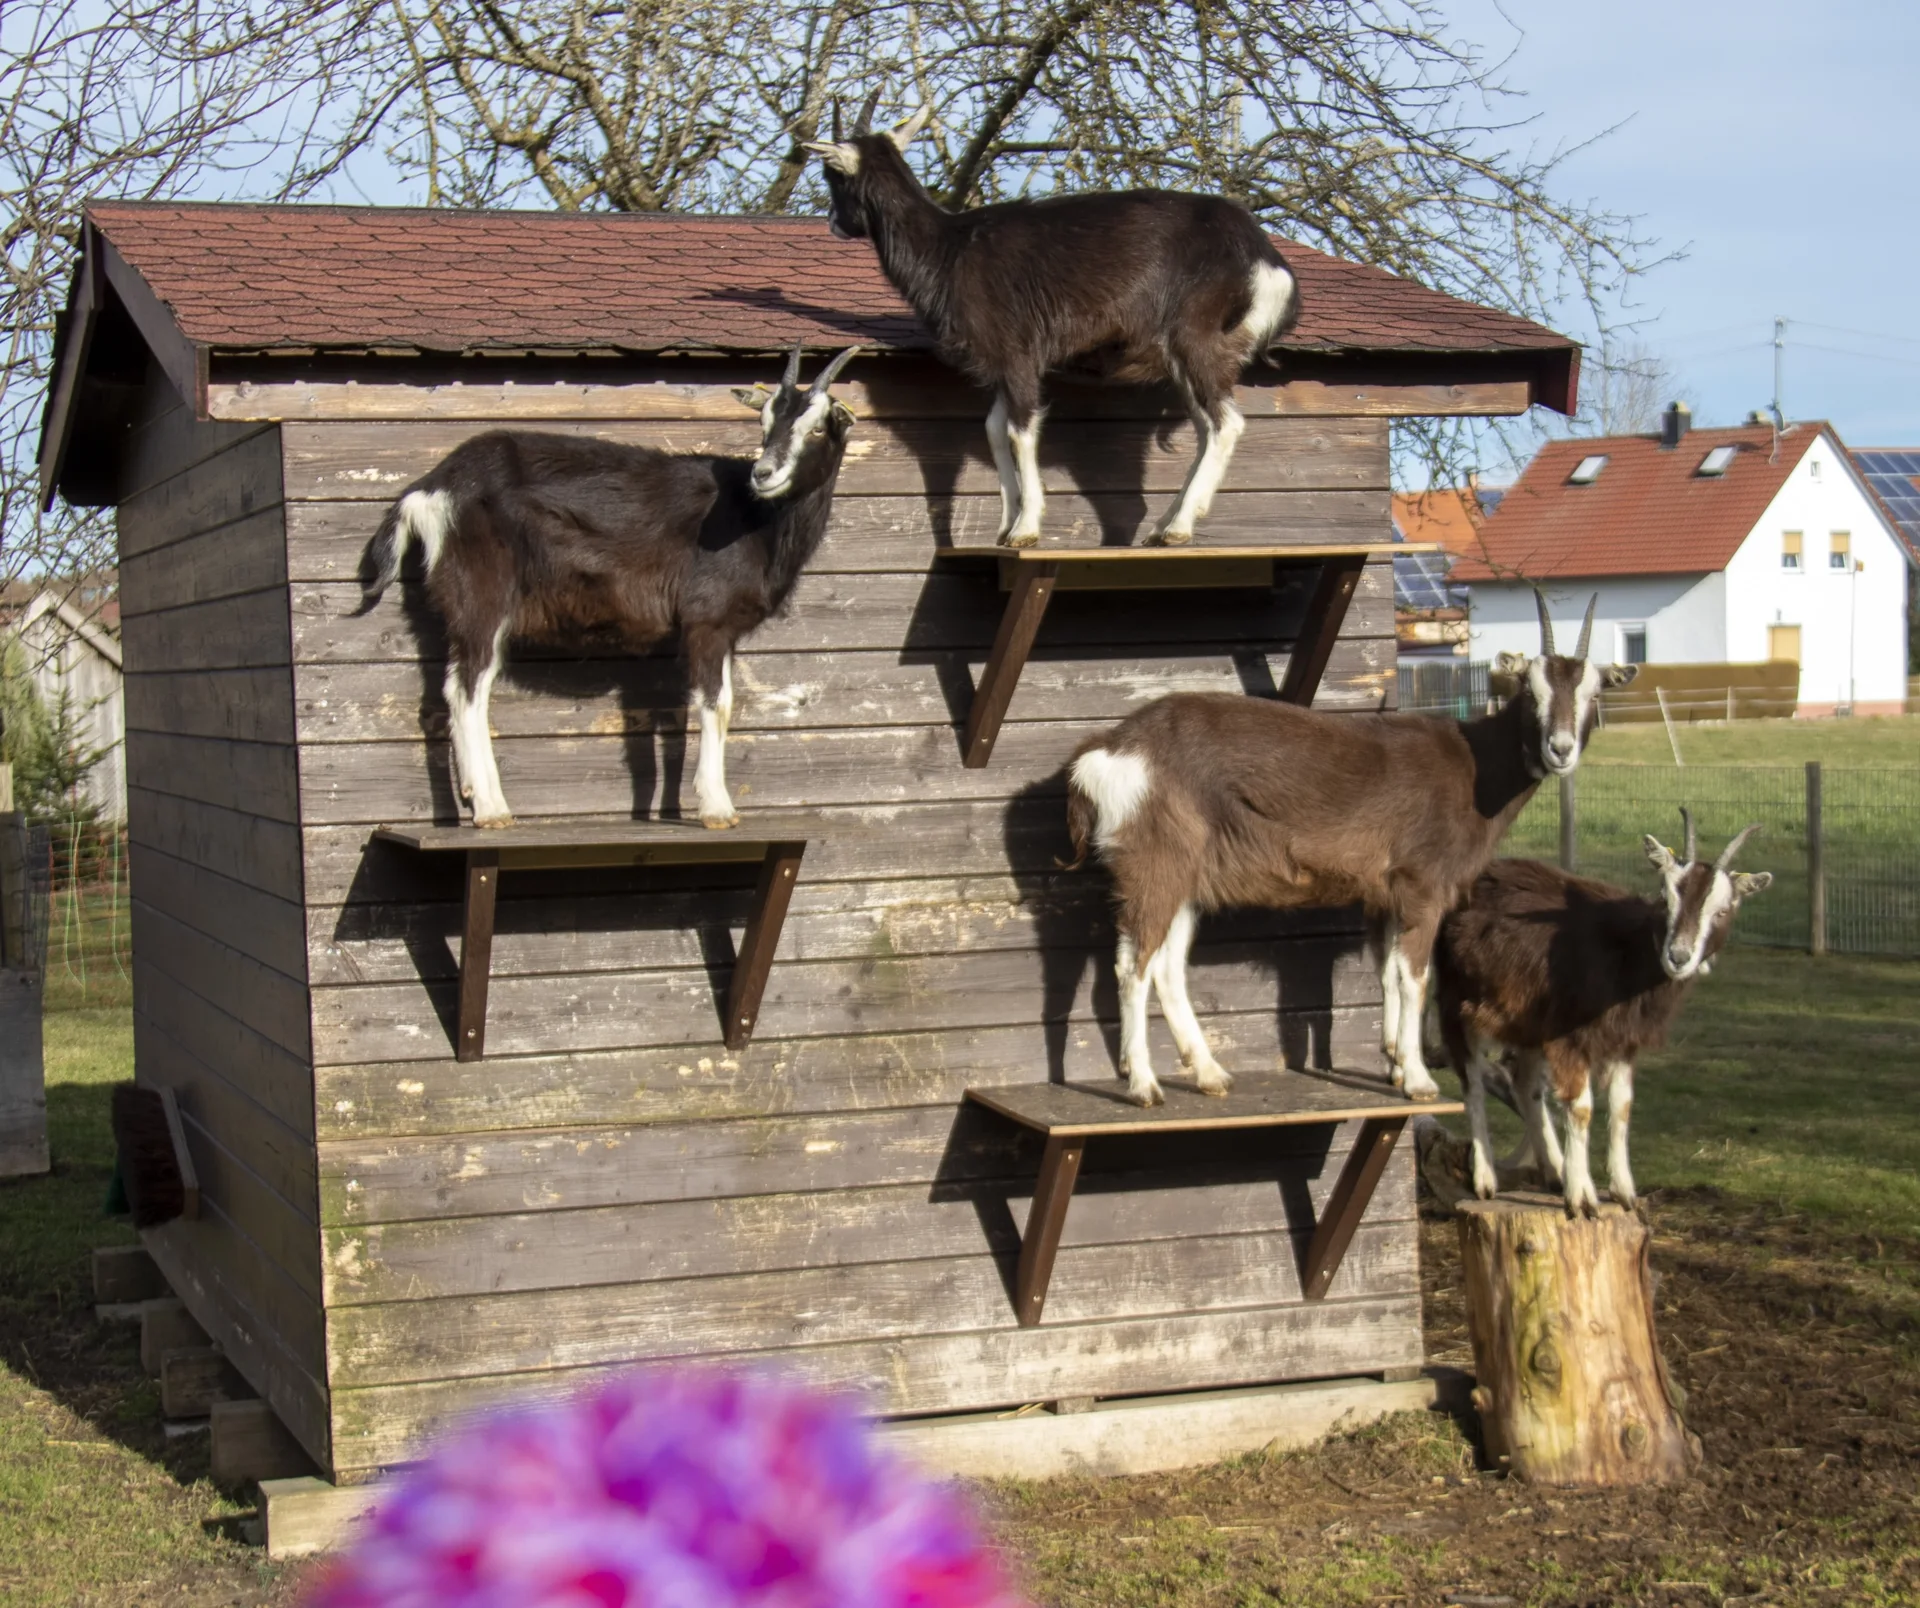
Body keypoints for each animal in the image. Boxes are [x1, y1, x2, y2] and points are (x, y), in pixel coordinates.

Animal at [358, 344, 861, 829]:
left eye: (818, 428)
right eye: (764, 423)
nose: (764, 473)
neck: (756, 520)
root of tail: (432, 488)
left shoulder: (723, 629)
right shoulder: (705, 618)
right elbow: (715, 705)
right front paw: (717, 809)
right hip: (481, 593)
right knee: (467, 690)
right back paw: (492, 809)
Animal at [806, 104, 1298, 548]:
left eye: (832, 175)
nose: (833, 224)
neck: (949, 250)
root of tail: (1265, 259)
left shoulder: (1018, 352)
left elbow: (1020, 430)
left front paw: (1026, 528)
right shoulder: (1001, 365)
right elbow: (993, 429)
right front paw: (1006, 525)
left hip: (1196, 336)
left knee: (1225, 423)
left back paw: (1177, 528)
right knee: (1204, 426)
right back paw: (1165, 525)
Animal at [1064, 593, 1636, 1107]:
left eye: (1592, 694)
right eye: (1531, 691)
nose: (1560, 749)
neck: (1475, 768)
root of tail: (1107, 752)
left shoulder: (1384, 895)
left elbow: (1387, 973)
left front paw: (1396, 1064)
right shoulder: (1422, 885)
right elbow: (1415, 978)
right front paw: (1419, 1080)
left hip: (1185, 877)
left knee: (1165, 966)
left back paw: (1208, 1074)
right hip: (1154, 863)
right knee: (1132, 965)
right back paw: (1144, 1085)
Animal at [1433, 813, 1772, 1216]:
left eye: (1722, 910)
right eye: (1665, 898)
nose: (1678, 956)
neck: (1624, 954)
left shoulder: (1622, 1042)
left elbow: (1621, 1107)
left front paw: (1623, 1193)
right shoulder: (1569, 1037)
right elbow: (1581, 1108)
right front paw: (1582, 1198)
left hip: (1528, 1023)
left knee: (1526, 1084)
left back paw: (1554, 1171)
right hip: (1457, 1004)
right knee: (1472, 1082)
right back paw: (1487, 1180)